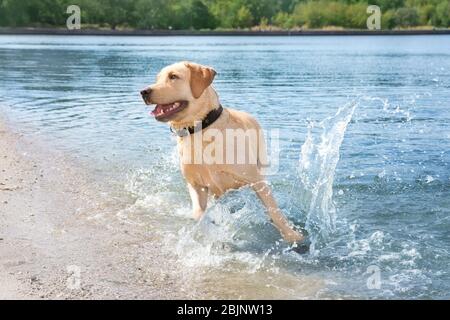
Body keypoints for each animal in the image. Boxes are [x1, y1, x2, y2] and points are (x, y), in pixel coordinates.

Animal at [140, 61, 302, 244]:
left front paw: (293, 236)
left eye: (173, 76)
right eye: (157, 78)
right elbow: (199, 213)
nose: (144, 92)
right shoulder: (196, 184)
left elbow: (274, 211)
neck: (200, 131)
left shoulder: (256, 180)